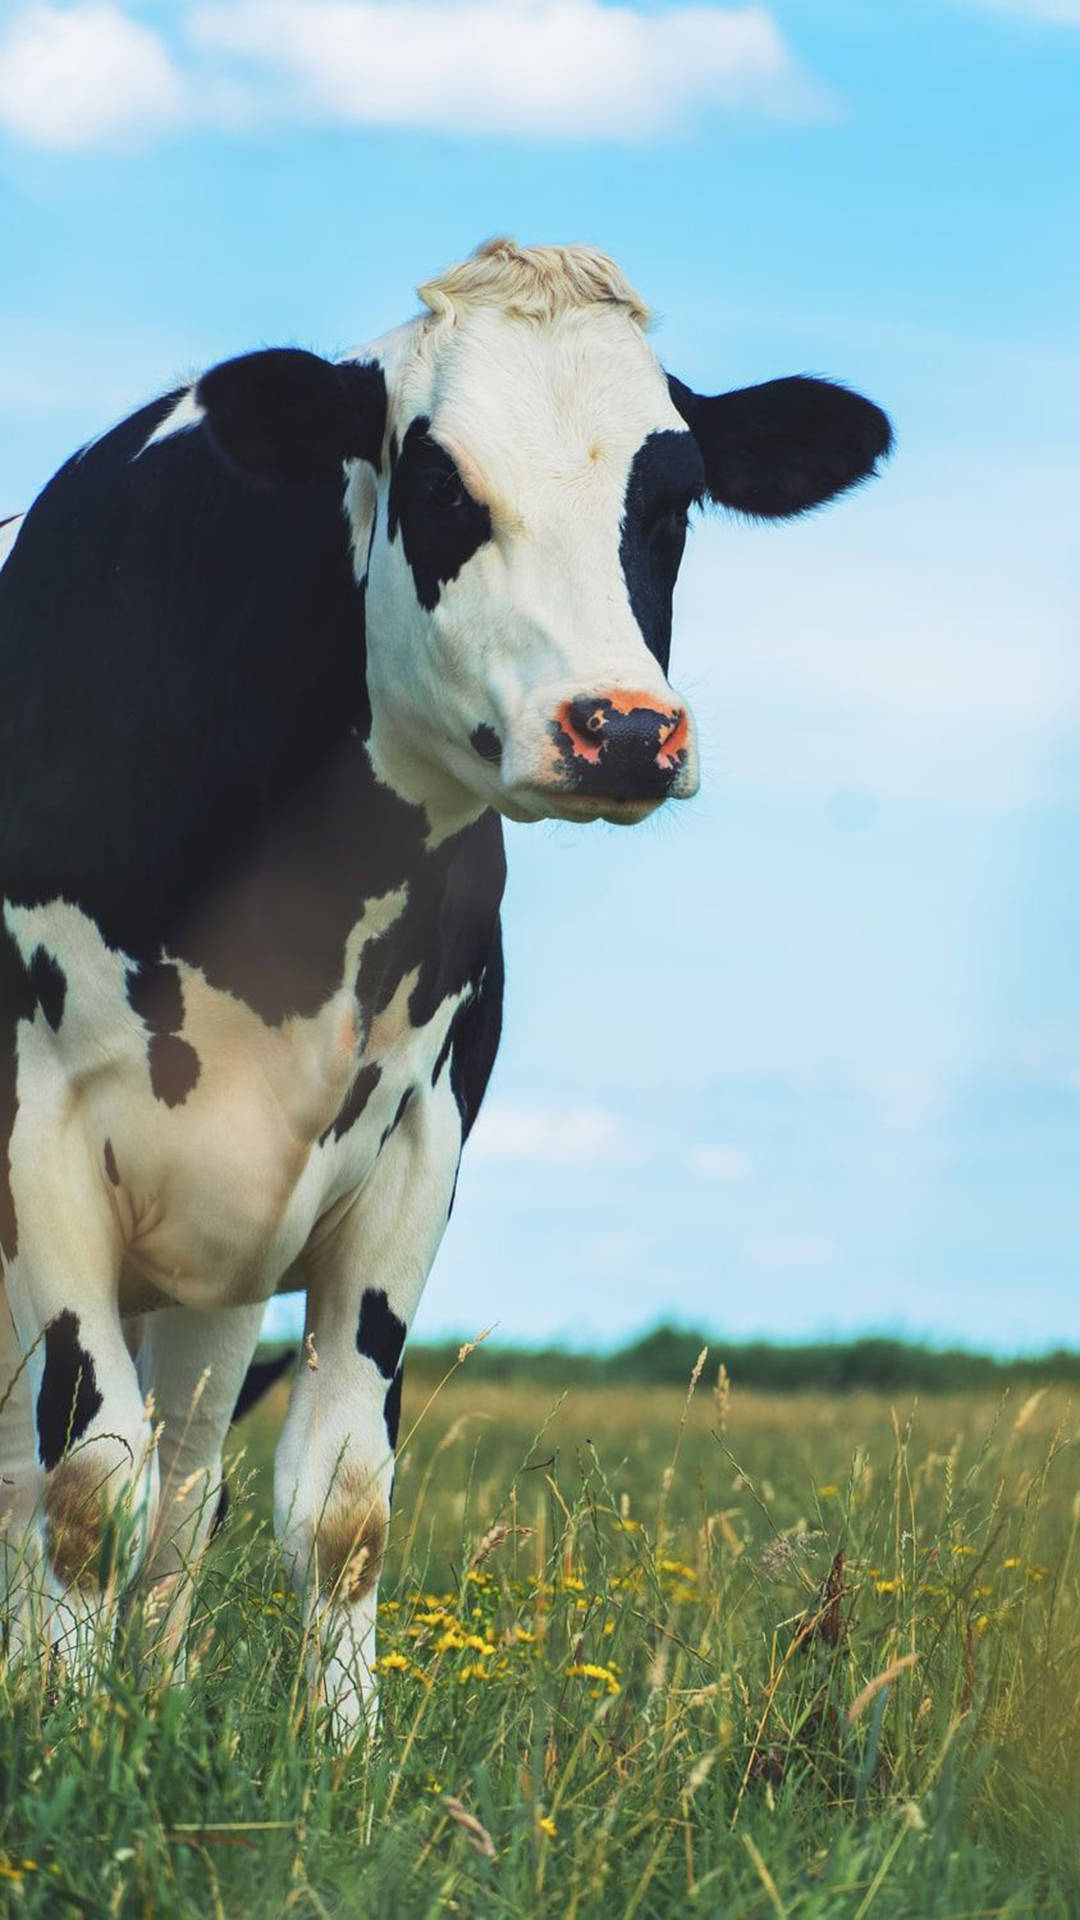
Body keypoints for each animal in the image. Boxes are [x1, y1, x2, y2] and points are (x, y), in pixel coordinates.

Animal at [0, 236, 891, 1728]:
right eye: (438, 487)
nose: (625, 728)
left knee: (187, 1486)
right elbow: (81, 1482)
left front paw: (336, 1751)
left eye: (674, 501)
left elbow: (333, 1501)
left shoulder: (417, 1138)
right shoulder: (41, 1124)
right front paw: (62, 1733)